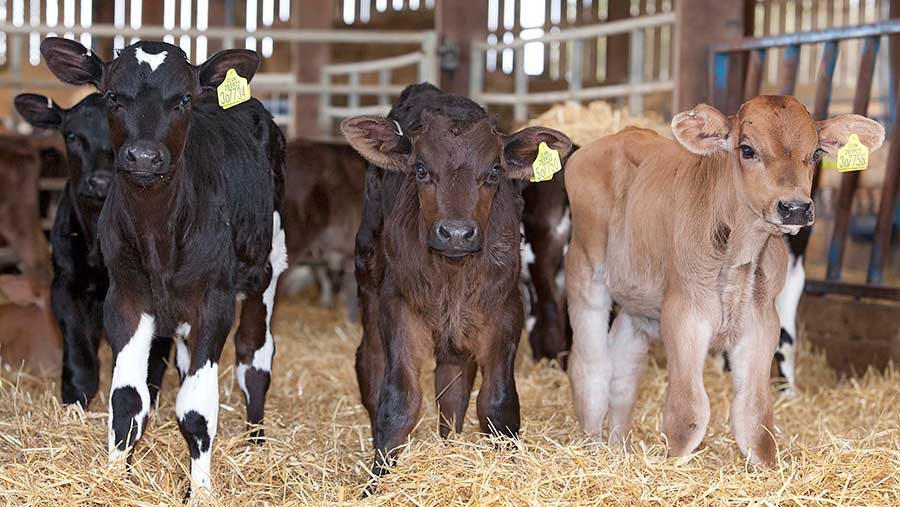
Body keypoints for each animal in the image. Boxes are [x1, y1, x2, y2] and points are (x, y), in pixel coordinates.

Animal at [39, 38, 287, 497]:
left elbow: (196, 408)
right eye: (113, 97)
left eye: (183, 100)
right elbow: (127, 398)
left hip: (268, 267)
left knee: (255, 356)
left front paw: (201, 491)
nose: (144, 156)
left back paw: (256, 443)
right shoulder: (125, 299)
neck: (159, 234)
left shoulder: (213, 304)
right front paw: (116, 478)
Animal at [341, 83, 572, 488]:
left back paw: (448, 445)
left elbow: (497, 403)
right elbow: (400, 400)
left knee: (453, 384)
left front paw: (510, 470)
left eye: (493, 171)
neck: (453, 273)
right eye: (421, 169)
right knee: (370, 364)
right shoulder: (398, 306)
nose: (456, 233)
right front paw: (379, 481)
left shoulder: (505, 309)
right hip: (369, 280)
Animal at [564, 96, 883, 464]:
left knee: (624, 372)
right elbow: (689, 413)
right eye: (747, 149)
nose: (795, 208)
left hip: (638, 305)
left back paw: (618, 448)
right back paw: (593, 446)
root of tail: (614, 138)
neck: (739, 258)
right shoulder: (684, 316)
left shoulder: (763, 324)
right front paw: (674, 464)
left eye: (816, 152)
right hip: (585, 270)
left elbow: (755, 416)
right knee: (590, 367)